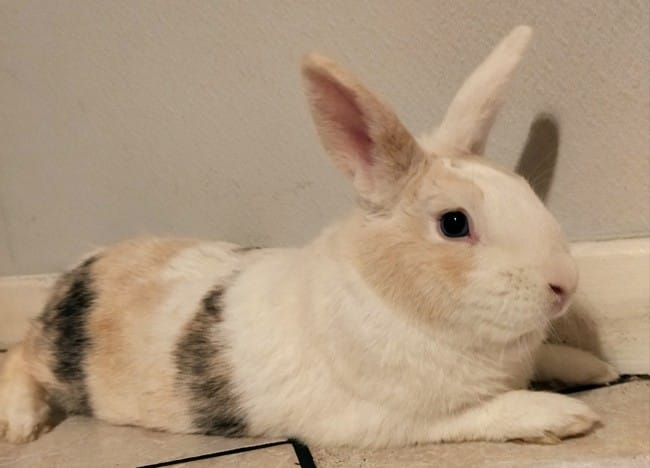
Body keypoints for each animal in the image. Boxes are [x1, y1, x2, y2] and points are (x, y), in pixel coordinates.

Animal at [0, 25, 619, 447]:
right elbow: (496, 410)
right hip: (56, 361)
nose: (565, 284)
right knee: (19, 358)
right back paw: (22, 426)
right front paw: (566, 416)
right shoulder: (403, 419)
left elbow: (550, 358)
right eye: (454, 224)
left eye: (523, 188)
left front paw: (598, 370)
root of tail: (75, 272)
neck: (395, 298)